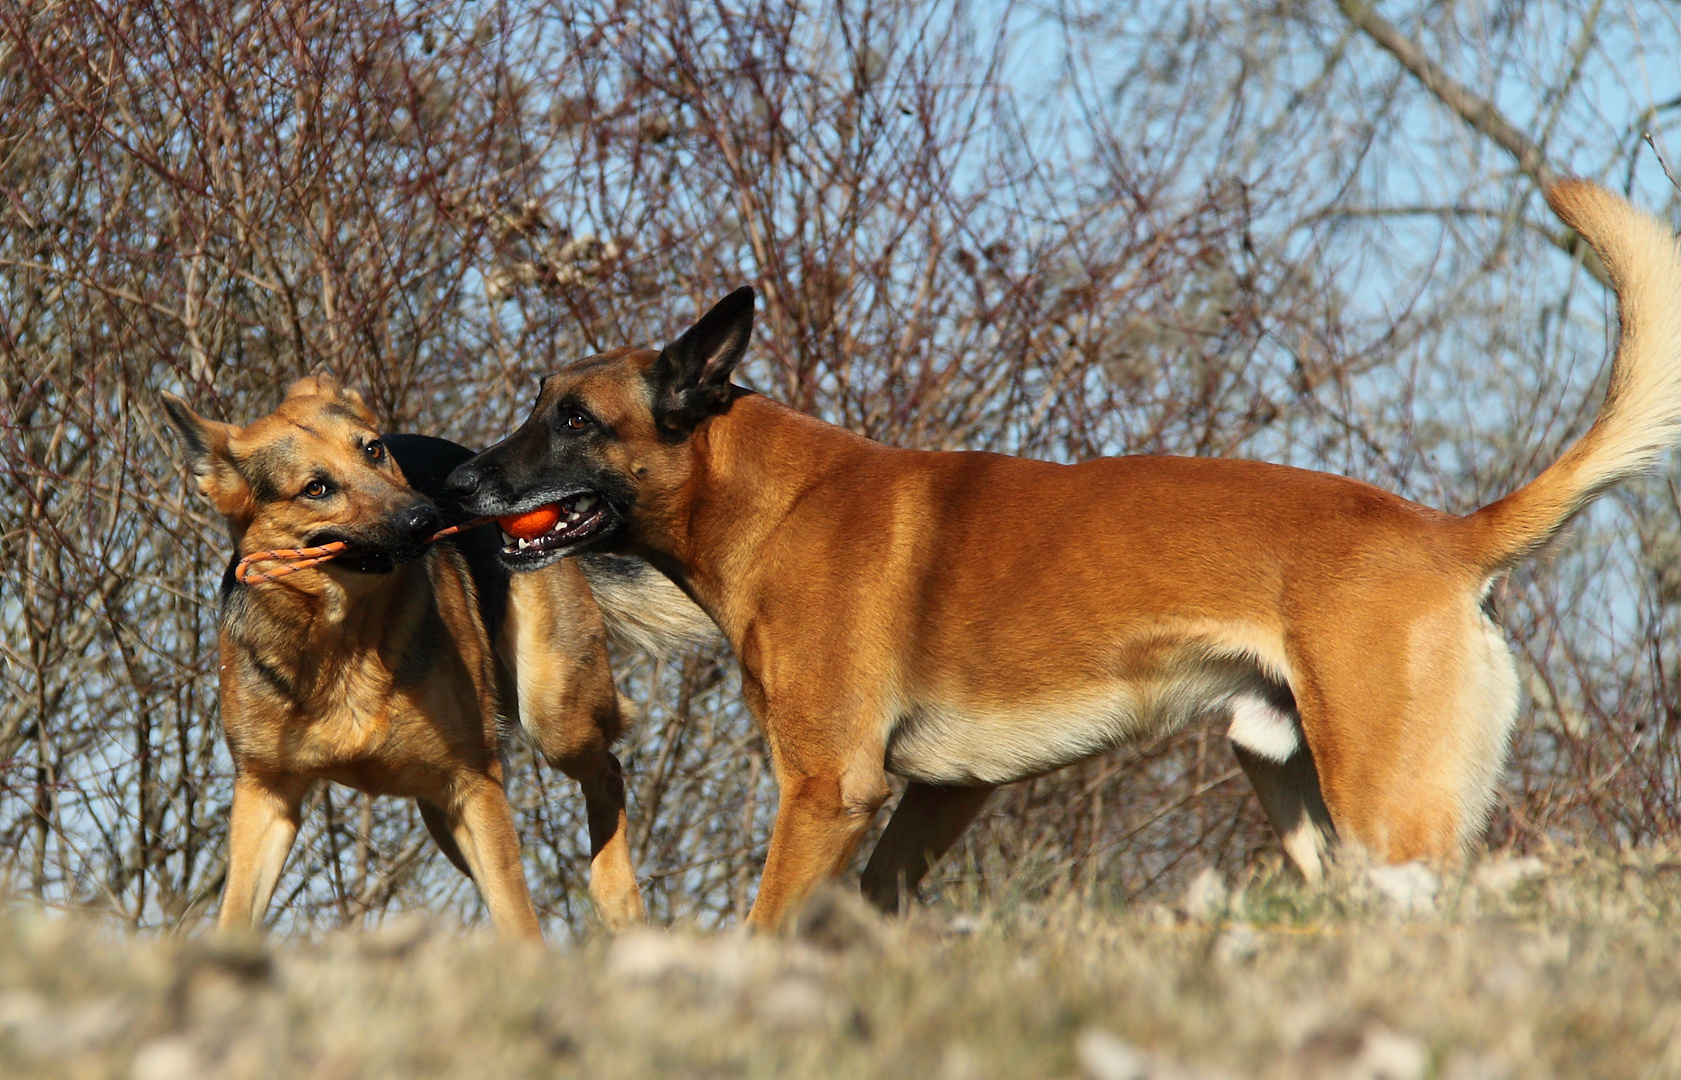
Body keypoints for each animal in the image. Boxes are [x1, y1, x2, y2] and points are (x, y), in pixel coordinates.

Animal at [160, 376, 706, 935]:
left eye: (373, 450)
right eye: (316, 488)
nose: (425, 518)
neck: (342, 644)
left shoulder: (474, 785)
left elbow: (518, 919)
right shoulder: (265, 798)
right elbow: (234, 915)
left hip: (554, 719)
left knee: (608, 771)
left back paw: (616, 894)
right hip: (441, 815)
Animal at [443, 178, 1681, 928]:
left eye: (573, 420)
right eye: (539, 405)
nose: (457, 485)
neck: (765, 497)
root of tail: (1445, 535)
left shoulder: (828, 791)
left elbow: (766, 930)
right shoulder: (939, 797)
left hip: (1389, 813)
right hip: (1296, 793)